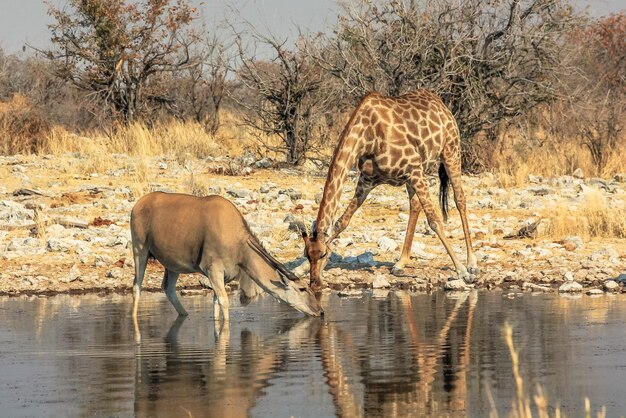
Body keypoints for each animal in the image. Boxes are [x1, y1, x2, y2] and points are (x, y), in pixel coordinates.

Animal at [129, 193, 320, 334]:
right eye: (302, 289)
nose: (320, 311)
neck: (237, 240)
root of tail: (139, 204)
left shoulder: (223, 277)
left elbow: (216, 304)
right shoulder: (214, 271)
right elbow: (224, 302)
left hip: (173, 265)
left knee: (168, 288)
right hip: (140, 251)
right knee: (136, 286)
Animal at [300, 88, 476, 290]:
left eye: (321, 254)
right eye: (307, 254)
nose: (314, 283)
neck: (367, 137)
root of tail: (441, 103)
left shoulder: (413, 170)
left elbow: (434, 221)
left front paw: (462, 271)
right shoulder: (367, 180)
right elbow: (341, 222)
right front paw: (307, 270)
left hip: (450, 151)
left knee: (460, 198)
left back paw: (472, 263)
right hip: (417, 172)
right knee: (415, 205)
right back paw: (401, 263)